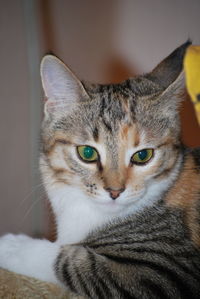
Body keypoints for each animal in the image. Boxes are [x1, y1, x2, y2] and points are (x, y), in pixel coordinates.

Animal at [0, 41, 200, 298]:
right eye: (87, 153)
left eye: (143, 156)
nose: (115, 191)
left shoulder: (166, 271)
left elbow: (72, 262)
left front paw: (12, 245)